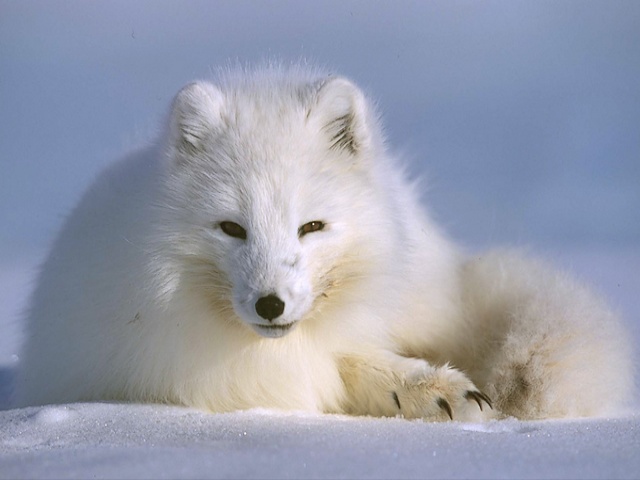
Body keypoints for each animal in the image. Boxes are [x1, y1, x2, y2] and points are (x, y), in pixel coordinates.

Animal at [15, 64, 634, 421]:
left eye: (310, 227)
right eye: (232, 228)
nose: (270, 304)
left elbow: (359, 359)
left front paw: (433, 389)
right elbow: (344, 370)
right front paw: (429, 391)